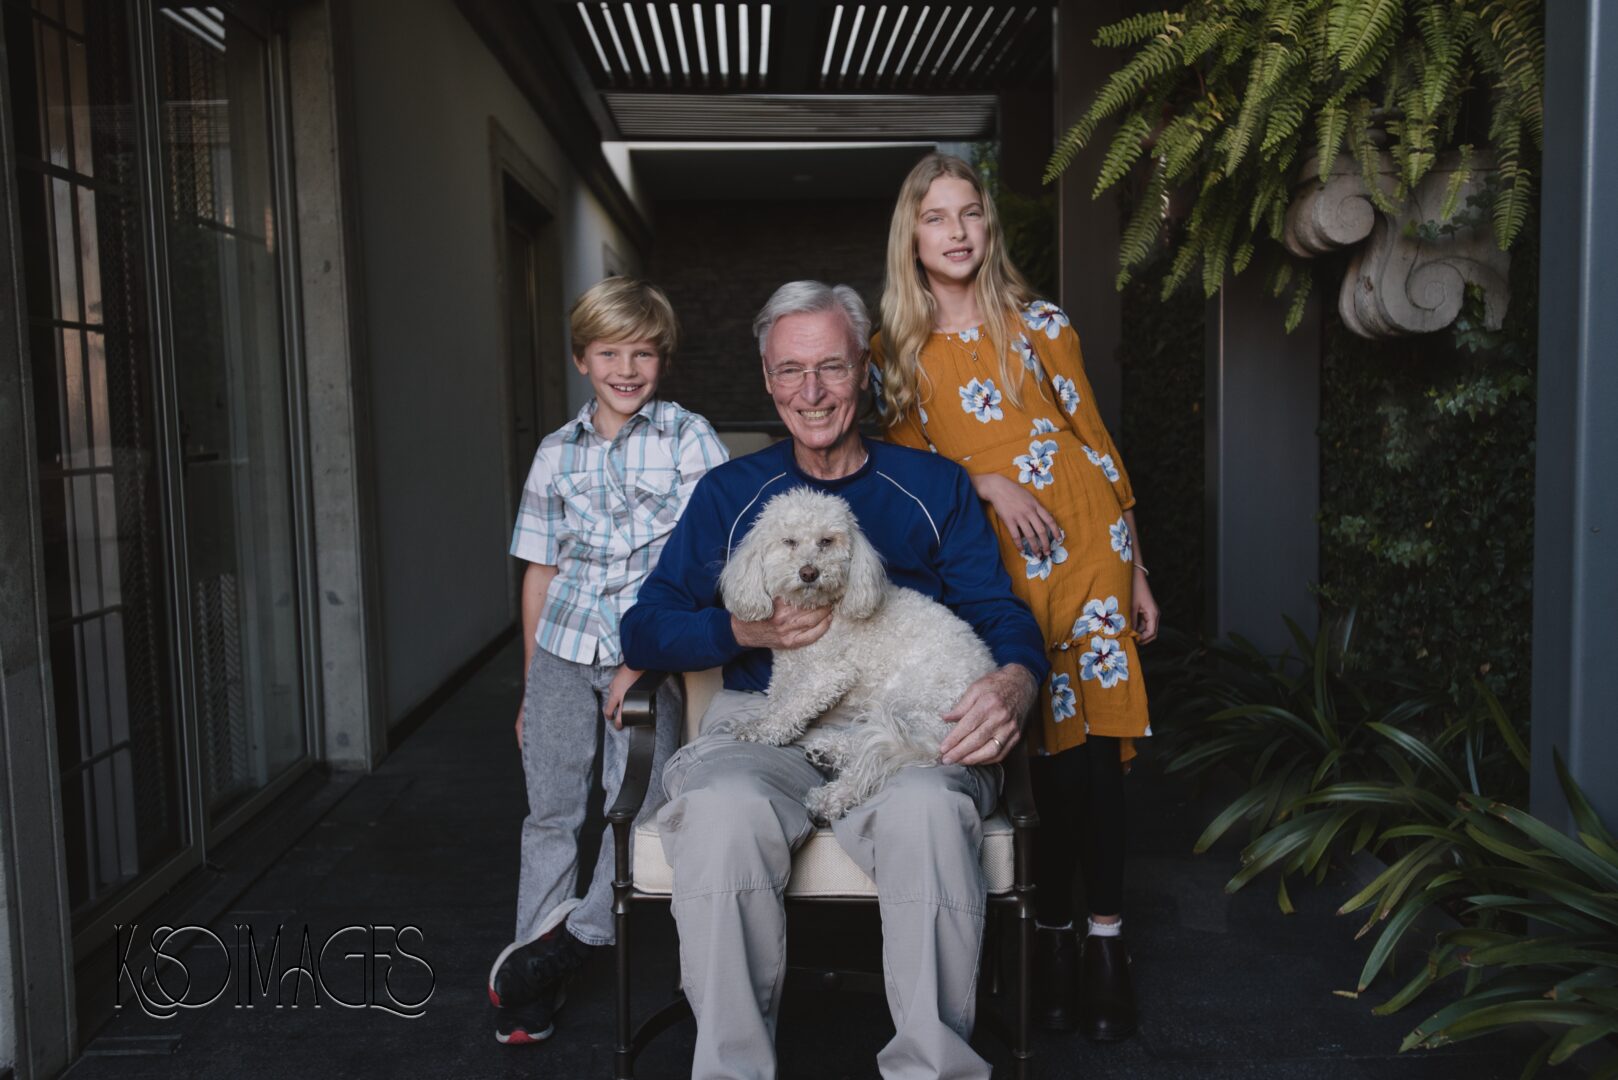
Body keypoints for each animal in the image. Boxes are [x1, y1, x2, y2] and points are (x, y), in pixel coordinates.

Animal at [721, 488, 996, 819]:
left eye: (826, 541)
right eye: (789, 541)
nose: (809, 572)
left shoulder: (829, 674)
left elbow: (793, 706)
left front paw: (765, 730)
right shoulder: (788, 668)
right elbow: (779, 700)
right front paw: (761, 723)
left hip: (906, 696)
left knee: (870, 758)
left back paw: (830, 798)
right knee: (867, 736)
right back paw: (828, 751)